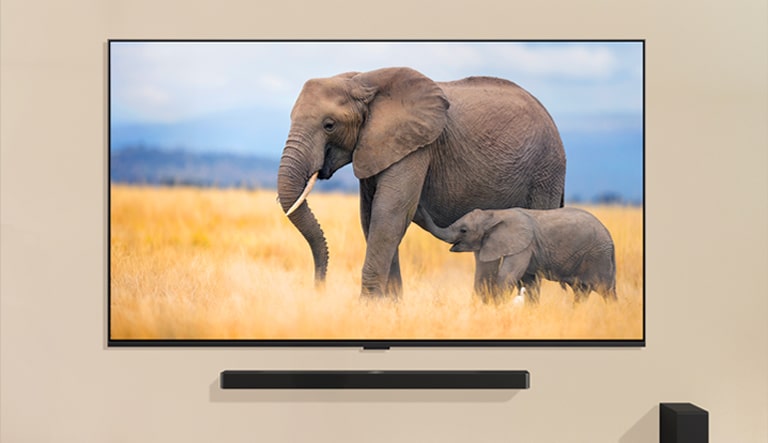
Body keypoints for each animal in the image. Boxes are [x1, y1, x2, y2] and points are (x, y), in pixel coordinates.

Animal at [276, 67, 566, 298]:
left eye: (329, 125)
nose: (319, 287)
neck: (364, 80)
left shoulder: (416, 146)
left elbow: (389, 214)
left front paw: (368, 308)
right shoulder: (376, 145)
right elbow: (371, 217)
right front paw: (388, 308)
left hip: (545, 172)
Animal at [416, 206, 617, 303]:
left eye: (464, 230)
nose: (418, 206)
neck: (494, 214)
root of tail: (610, 238)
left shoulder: (523, 246)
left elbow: (507, 275)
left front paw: (496, 307)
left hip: (598, 257)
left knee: (606, 291)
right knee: (581, 293)